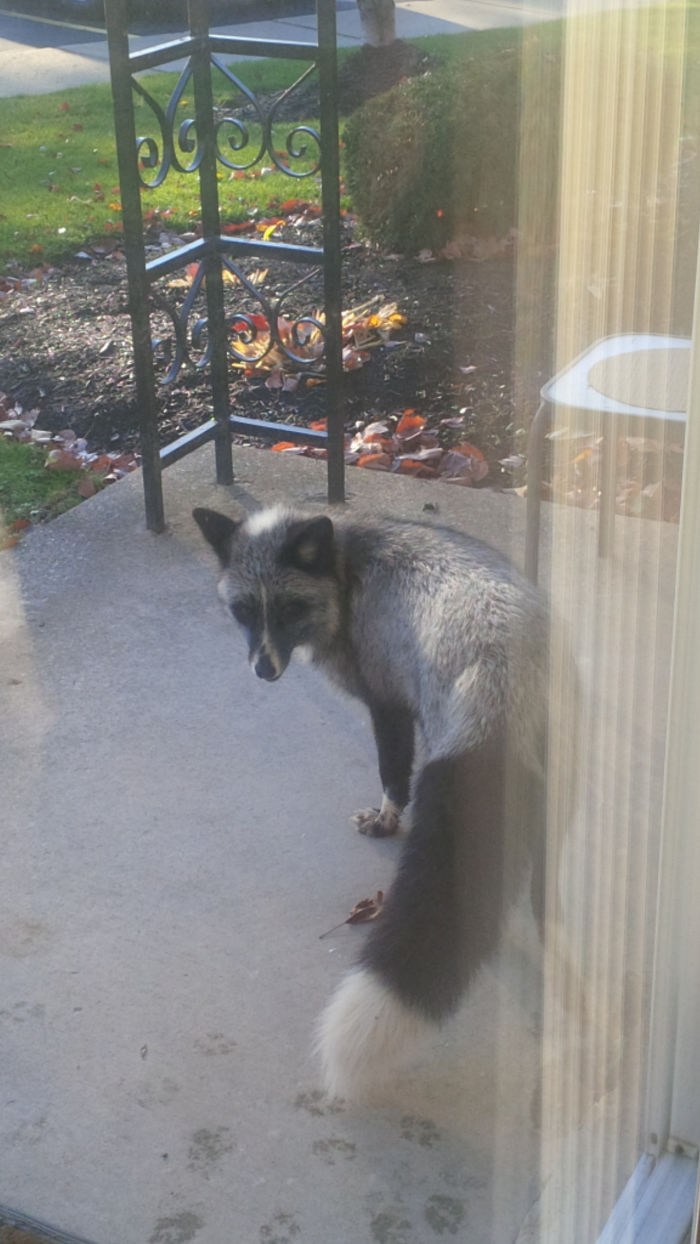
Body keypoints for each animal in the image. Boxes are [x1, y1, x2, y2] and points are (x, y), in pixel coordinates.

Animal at [193, 503, 570, 1100]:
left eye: (292, 608)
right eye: (245, 611)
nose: (264, 669)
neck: (346, 569)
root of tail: (505, 681)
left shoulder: (387, 704)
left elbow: (392, 773)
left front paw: (386, 820)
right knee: (542, 894)